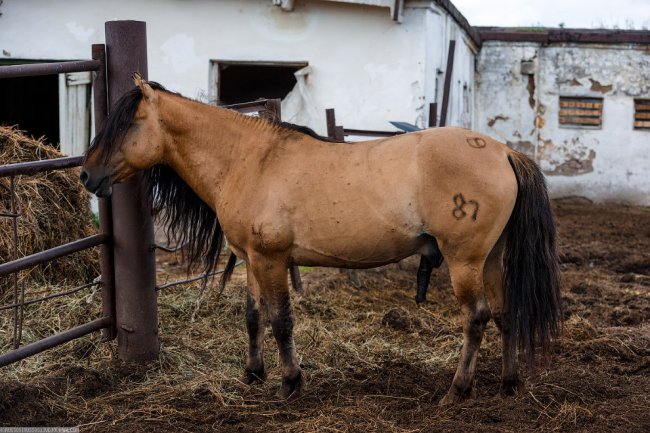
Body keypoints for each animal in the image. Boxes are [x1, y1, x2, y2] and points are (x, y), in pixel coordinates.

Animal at [78, 76, 560, 404]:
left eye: (127, 124)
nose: (86, 175)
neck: (251, 161)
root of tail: (504, 152)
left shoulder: (271, 259)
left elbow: (280, 321)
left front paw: (290, 382)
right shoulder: (252, 259)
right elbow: (252, 317)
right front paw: (252, 374)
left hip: (464, 261)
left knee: (477, 318)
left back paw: (457, 391)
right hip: (490, 259)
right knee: (506, 314)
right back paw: (509, 383)